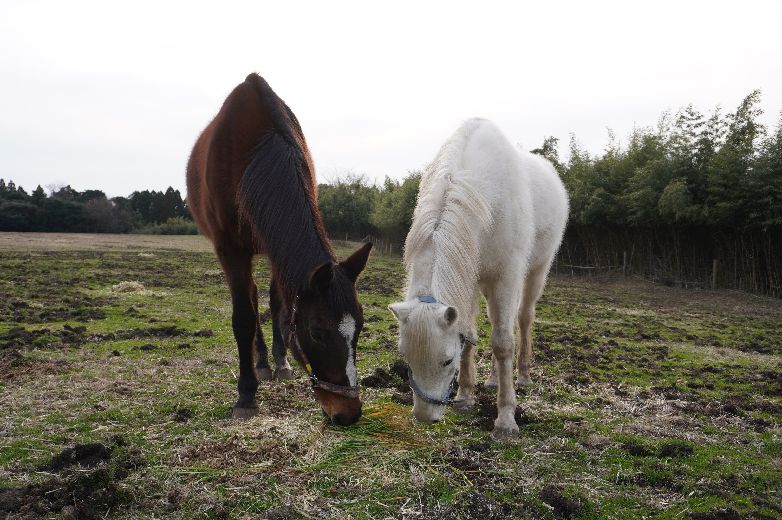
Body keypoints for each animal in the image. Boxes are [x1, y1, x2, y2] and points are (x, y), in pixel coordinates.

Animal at [189, 73, 374, 424]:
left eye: (359, 326)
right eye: (317, 332)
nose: (348, 413)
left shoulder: (279, 251)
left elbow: (280, 306)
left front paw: (283, 362)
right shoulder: (230, 249)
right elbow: (243, 318)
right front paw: (246, 395)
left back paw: (272, 362)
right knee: (249, 298)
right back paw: (259, 364)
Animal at [392, 118, 568, 438]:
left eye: (446, 360)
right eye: (406, 358)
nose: (424, 416)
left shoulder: (507, 276)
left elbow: (503, 343)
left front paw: (506, 420)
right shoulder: (469, 280)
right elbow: (470, 335)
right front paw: (465, 397)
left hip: (536, 271)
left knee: (523, 318)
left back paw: (523, 375)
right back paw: (495, 380)